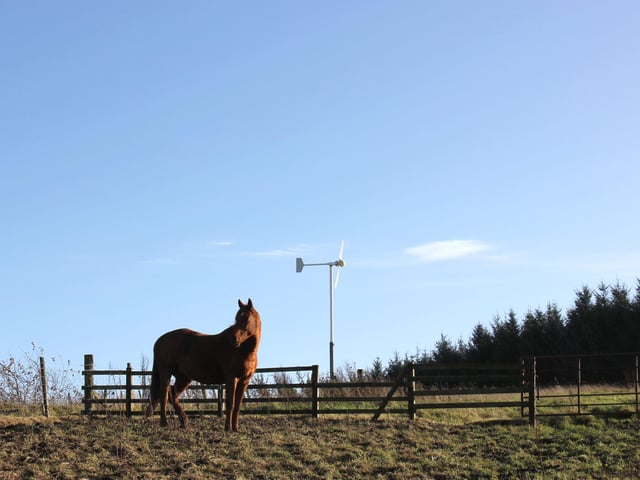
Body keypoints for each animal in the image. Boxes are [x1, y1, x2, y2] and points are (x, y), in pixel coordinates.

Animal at [145, 298, 261, 432]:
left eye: (246, 318)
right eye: (237, 318)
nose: (233, 339)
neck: (243, 351)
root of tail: (159, 341)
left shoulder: (244, 381)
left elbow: (237, 405)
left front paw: (236, 428)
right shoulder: (231, 378)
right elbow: (230, 404)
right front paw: (227, 428)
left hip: (184, 378)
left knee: (172, 395)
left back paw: (184, 422)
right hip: (166, 373)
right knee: (163, 395)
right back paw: (164, 423)